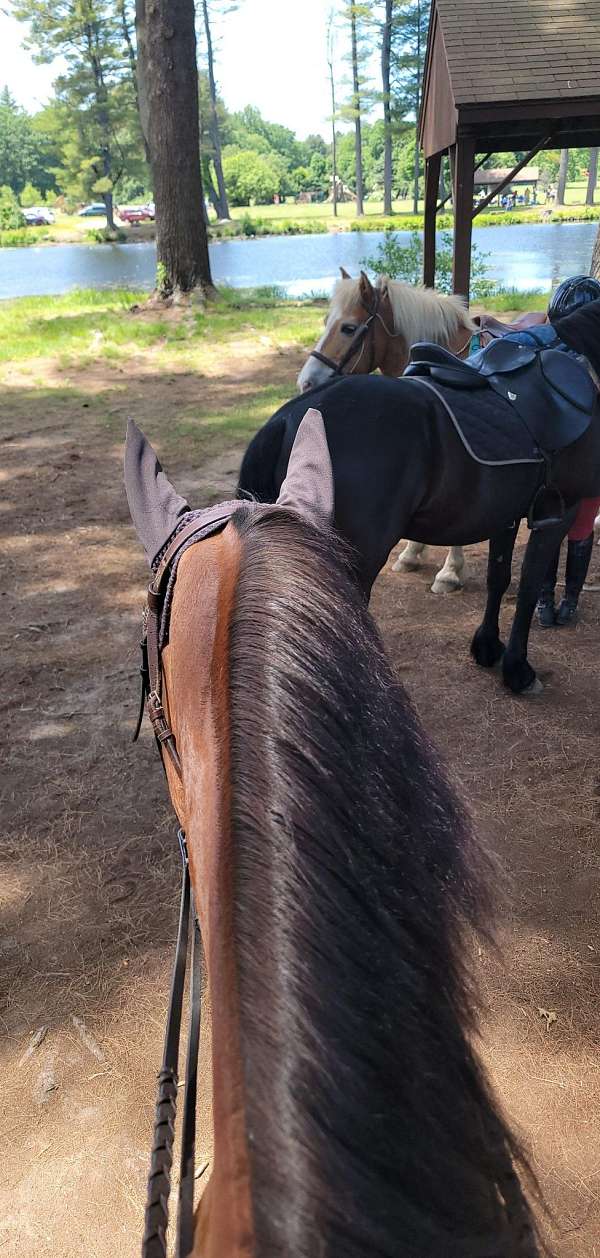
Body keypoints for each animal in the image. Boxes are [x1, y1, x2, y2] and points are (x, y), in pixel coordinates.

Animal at [237, 303, 598, 699]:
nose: (307, 379)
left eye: (348, 327)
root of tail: (288, 417)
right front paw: (518, 670)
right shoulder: (561, 510)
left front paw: (487, 646)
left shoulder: (509, 514)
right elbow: (529, 584)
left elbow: (499, 577)